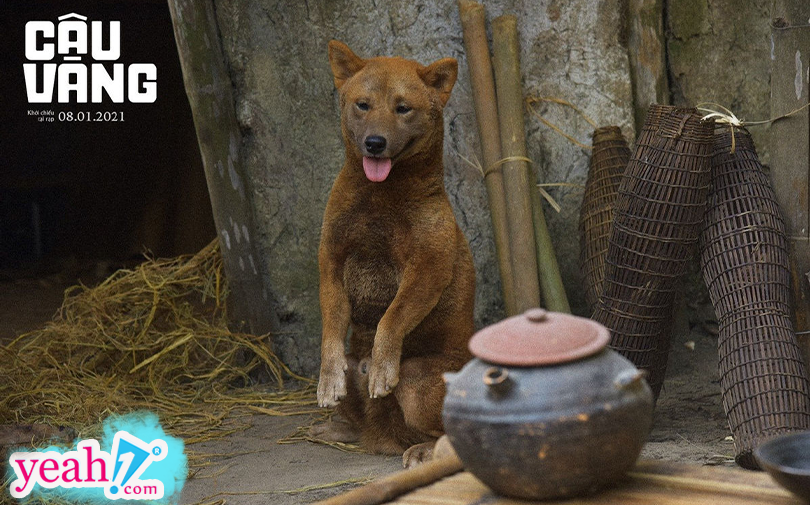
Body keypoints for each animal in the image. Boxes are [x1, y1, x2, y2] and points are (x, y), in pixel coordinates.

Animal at [316, 41, 476, 466]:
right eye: (363, 104)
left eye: (403, 108)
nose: (374, 142)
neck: (379, 198)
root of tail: (384, 438)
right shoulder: (330, 260)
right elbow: (331, 326)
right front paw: (327, 382)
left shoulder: (428, 266)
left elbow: (392, 317)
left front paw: (382, 370)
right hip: (359, 369)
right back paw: (341, 427)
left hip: (418, 381)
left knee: (450, 434)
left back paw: (423, 450)